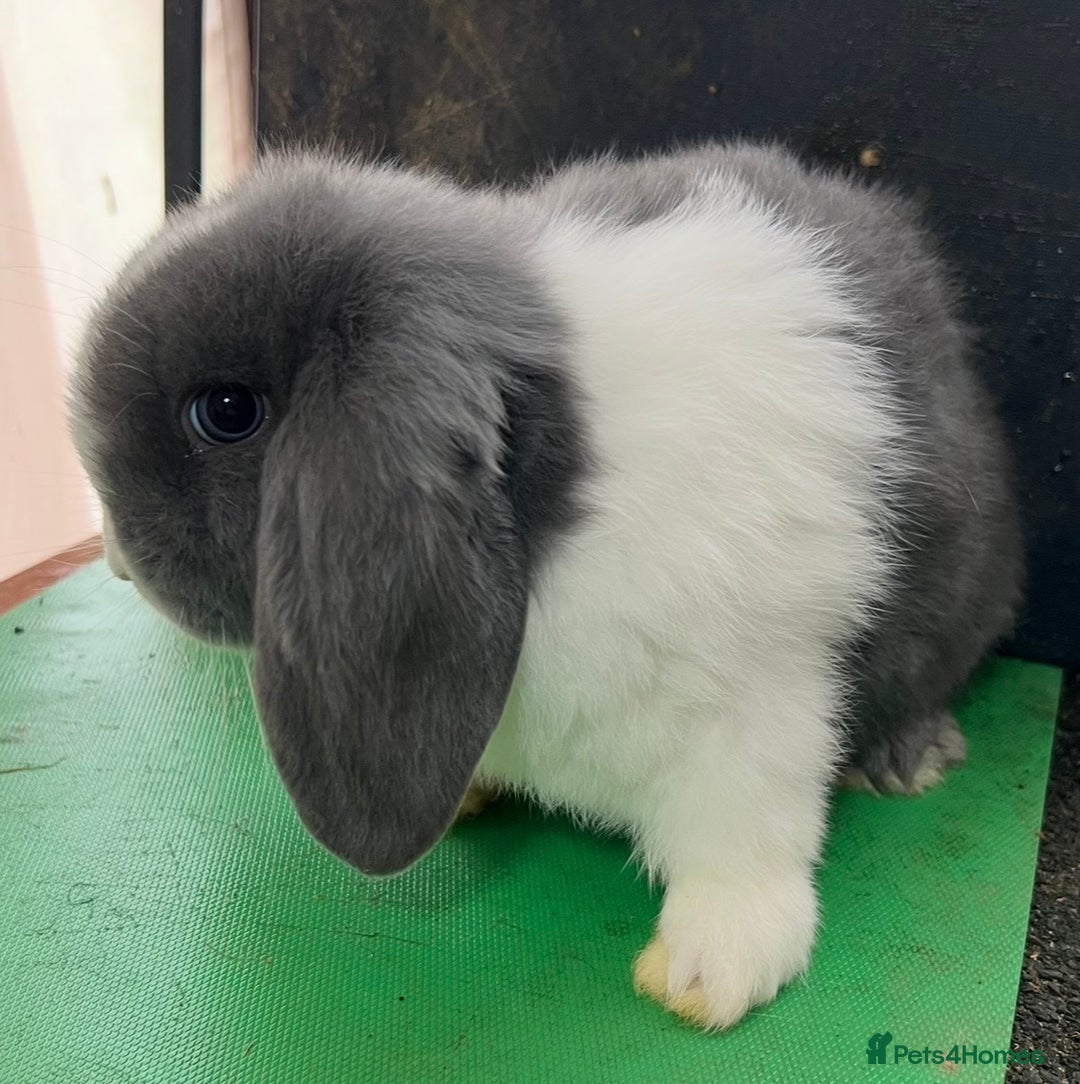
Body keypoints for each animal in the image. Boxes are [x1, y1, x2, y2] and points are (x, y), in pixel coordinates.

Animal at [69, 141, 1023, 1030]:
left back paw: (906, 761)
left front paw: (710, 973)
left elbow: (741, 845)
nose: (113, 554)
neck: (551, 512)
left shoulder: (756, 708)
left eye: (226, 413)